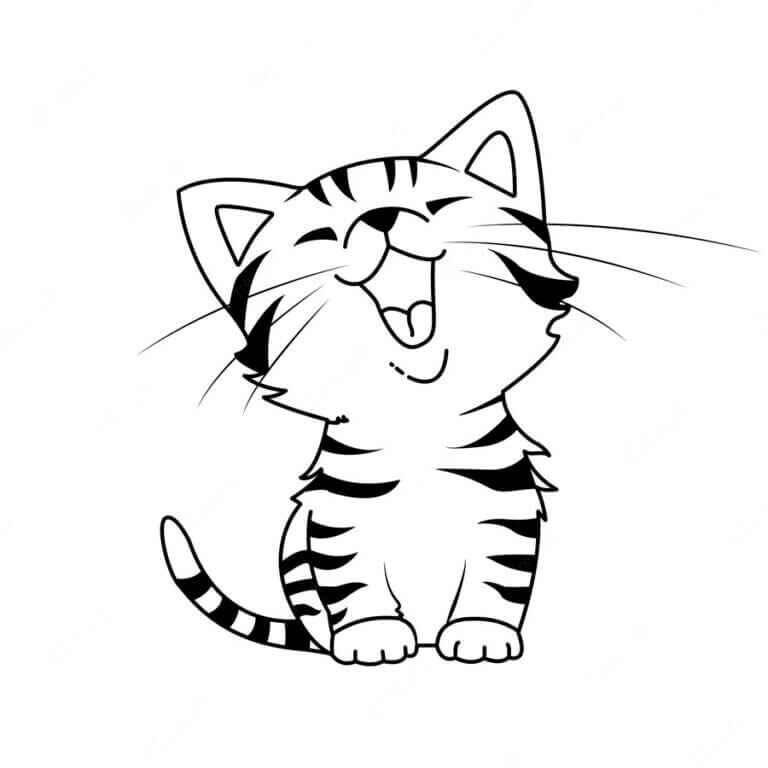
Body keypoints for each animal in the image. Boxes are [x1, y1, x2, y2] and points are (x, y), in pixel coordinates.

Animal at [159, 91, 581, 664]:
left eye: (440, 206)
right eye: (319, 236)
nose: (381, 217)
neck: (418, 415)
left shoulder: (503, 510)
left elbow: (495, 579)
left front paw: (481, 632)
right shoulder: (340, 522)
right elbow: (353, 583)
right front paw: (372, 636)